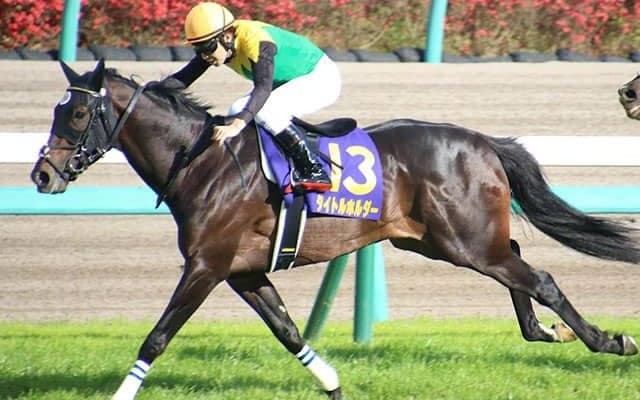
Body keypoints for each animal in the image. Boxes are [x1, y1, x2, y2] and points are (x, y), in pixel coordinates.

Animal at [31, 59, 640, 400]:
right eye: (57, 112)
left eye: (77, 115)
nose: (41, 174)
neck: (204, 161)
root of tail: (484, 141)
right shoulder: (242, 272)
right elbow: (289, 332)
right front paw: (333, 384)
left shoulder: (206, 266)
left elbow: (156, 336)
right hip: (444, 241)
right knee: (515, 261)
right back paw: (546, 331)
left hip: (465, 241)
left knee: (539, 277)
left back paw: (608, 339)